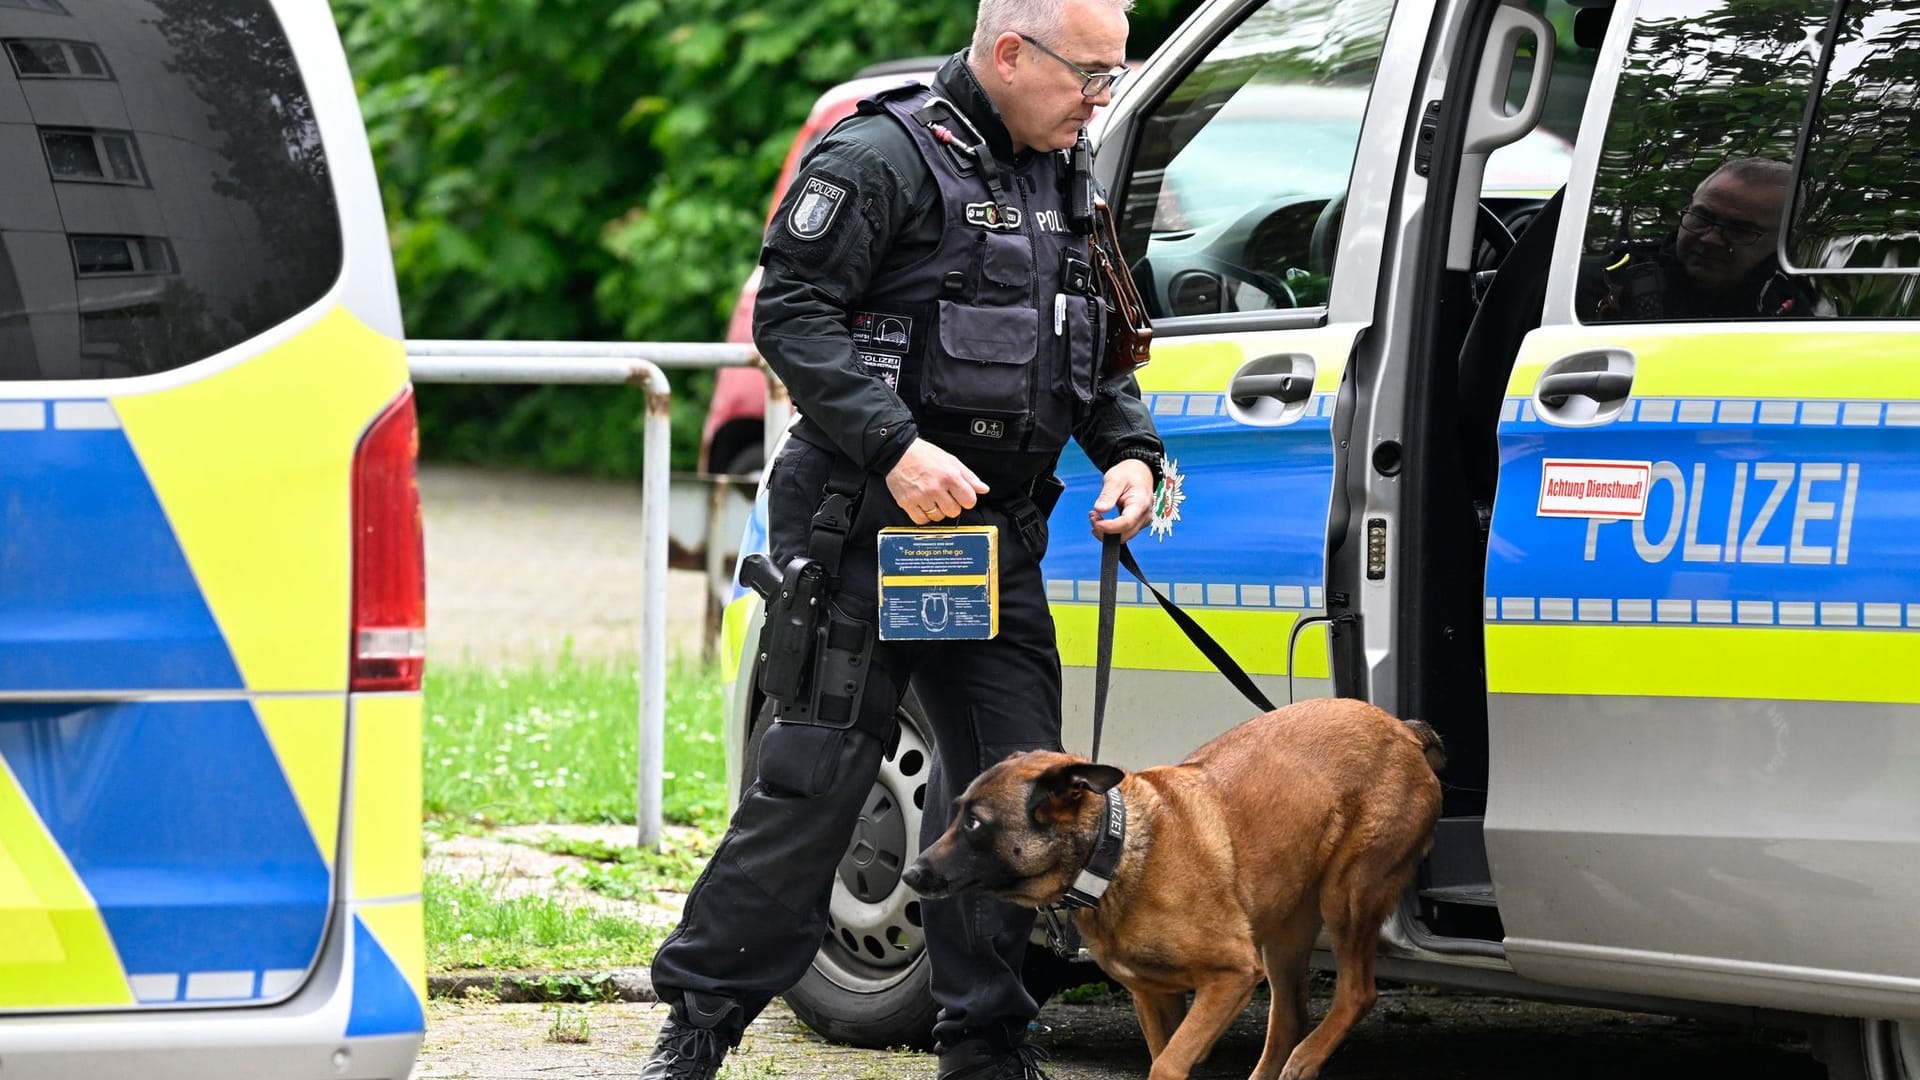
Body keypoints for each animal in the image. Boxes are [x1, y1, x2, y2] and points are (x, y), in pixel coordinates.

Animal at [898, 691, 1443, 1076]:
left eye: (975, 823)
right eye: (956, 813)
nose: (910, 873)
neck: (1114, 856)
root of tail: (1401, 729)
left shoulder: (1231, 976)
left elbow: (1167, 1064)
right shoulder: (1155, 997)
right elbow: (1165, 1053)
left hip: (1347, 894)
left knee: (1356, 993)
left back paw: (1307, 1059)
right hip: (1287, 929)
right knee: (1290, 1017)